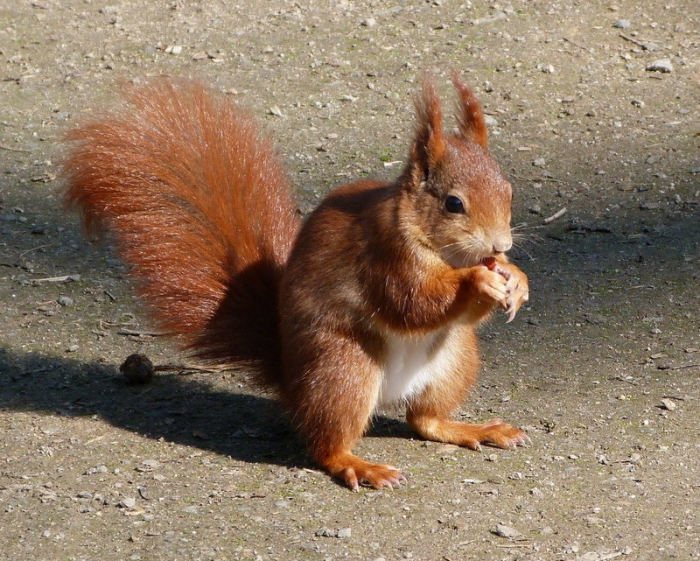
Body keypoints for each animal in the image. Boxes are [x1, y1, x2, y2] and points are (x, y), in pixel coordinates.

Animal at [62, 72, 530, 491]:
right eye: (453, 204)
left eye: (509, 191)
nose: (501, 244)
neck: (445, 253)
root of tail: (290, 378)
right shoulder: (383, 256)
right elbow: (412, 302)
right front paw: (478, 279)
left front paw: (517, 279)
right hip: (343, 369)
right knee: (326, 443)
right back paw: (358, 465)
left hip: (456, 360)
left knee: (425, 420)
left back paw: (476, 429)